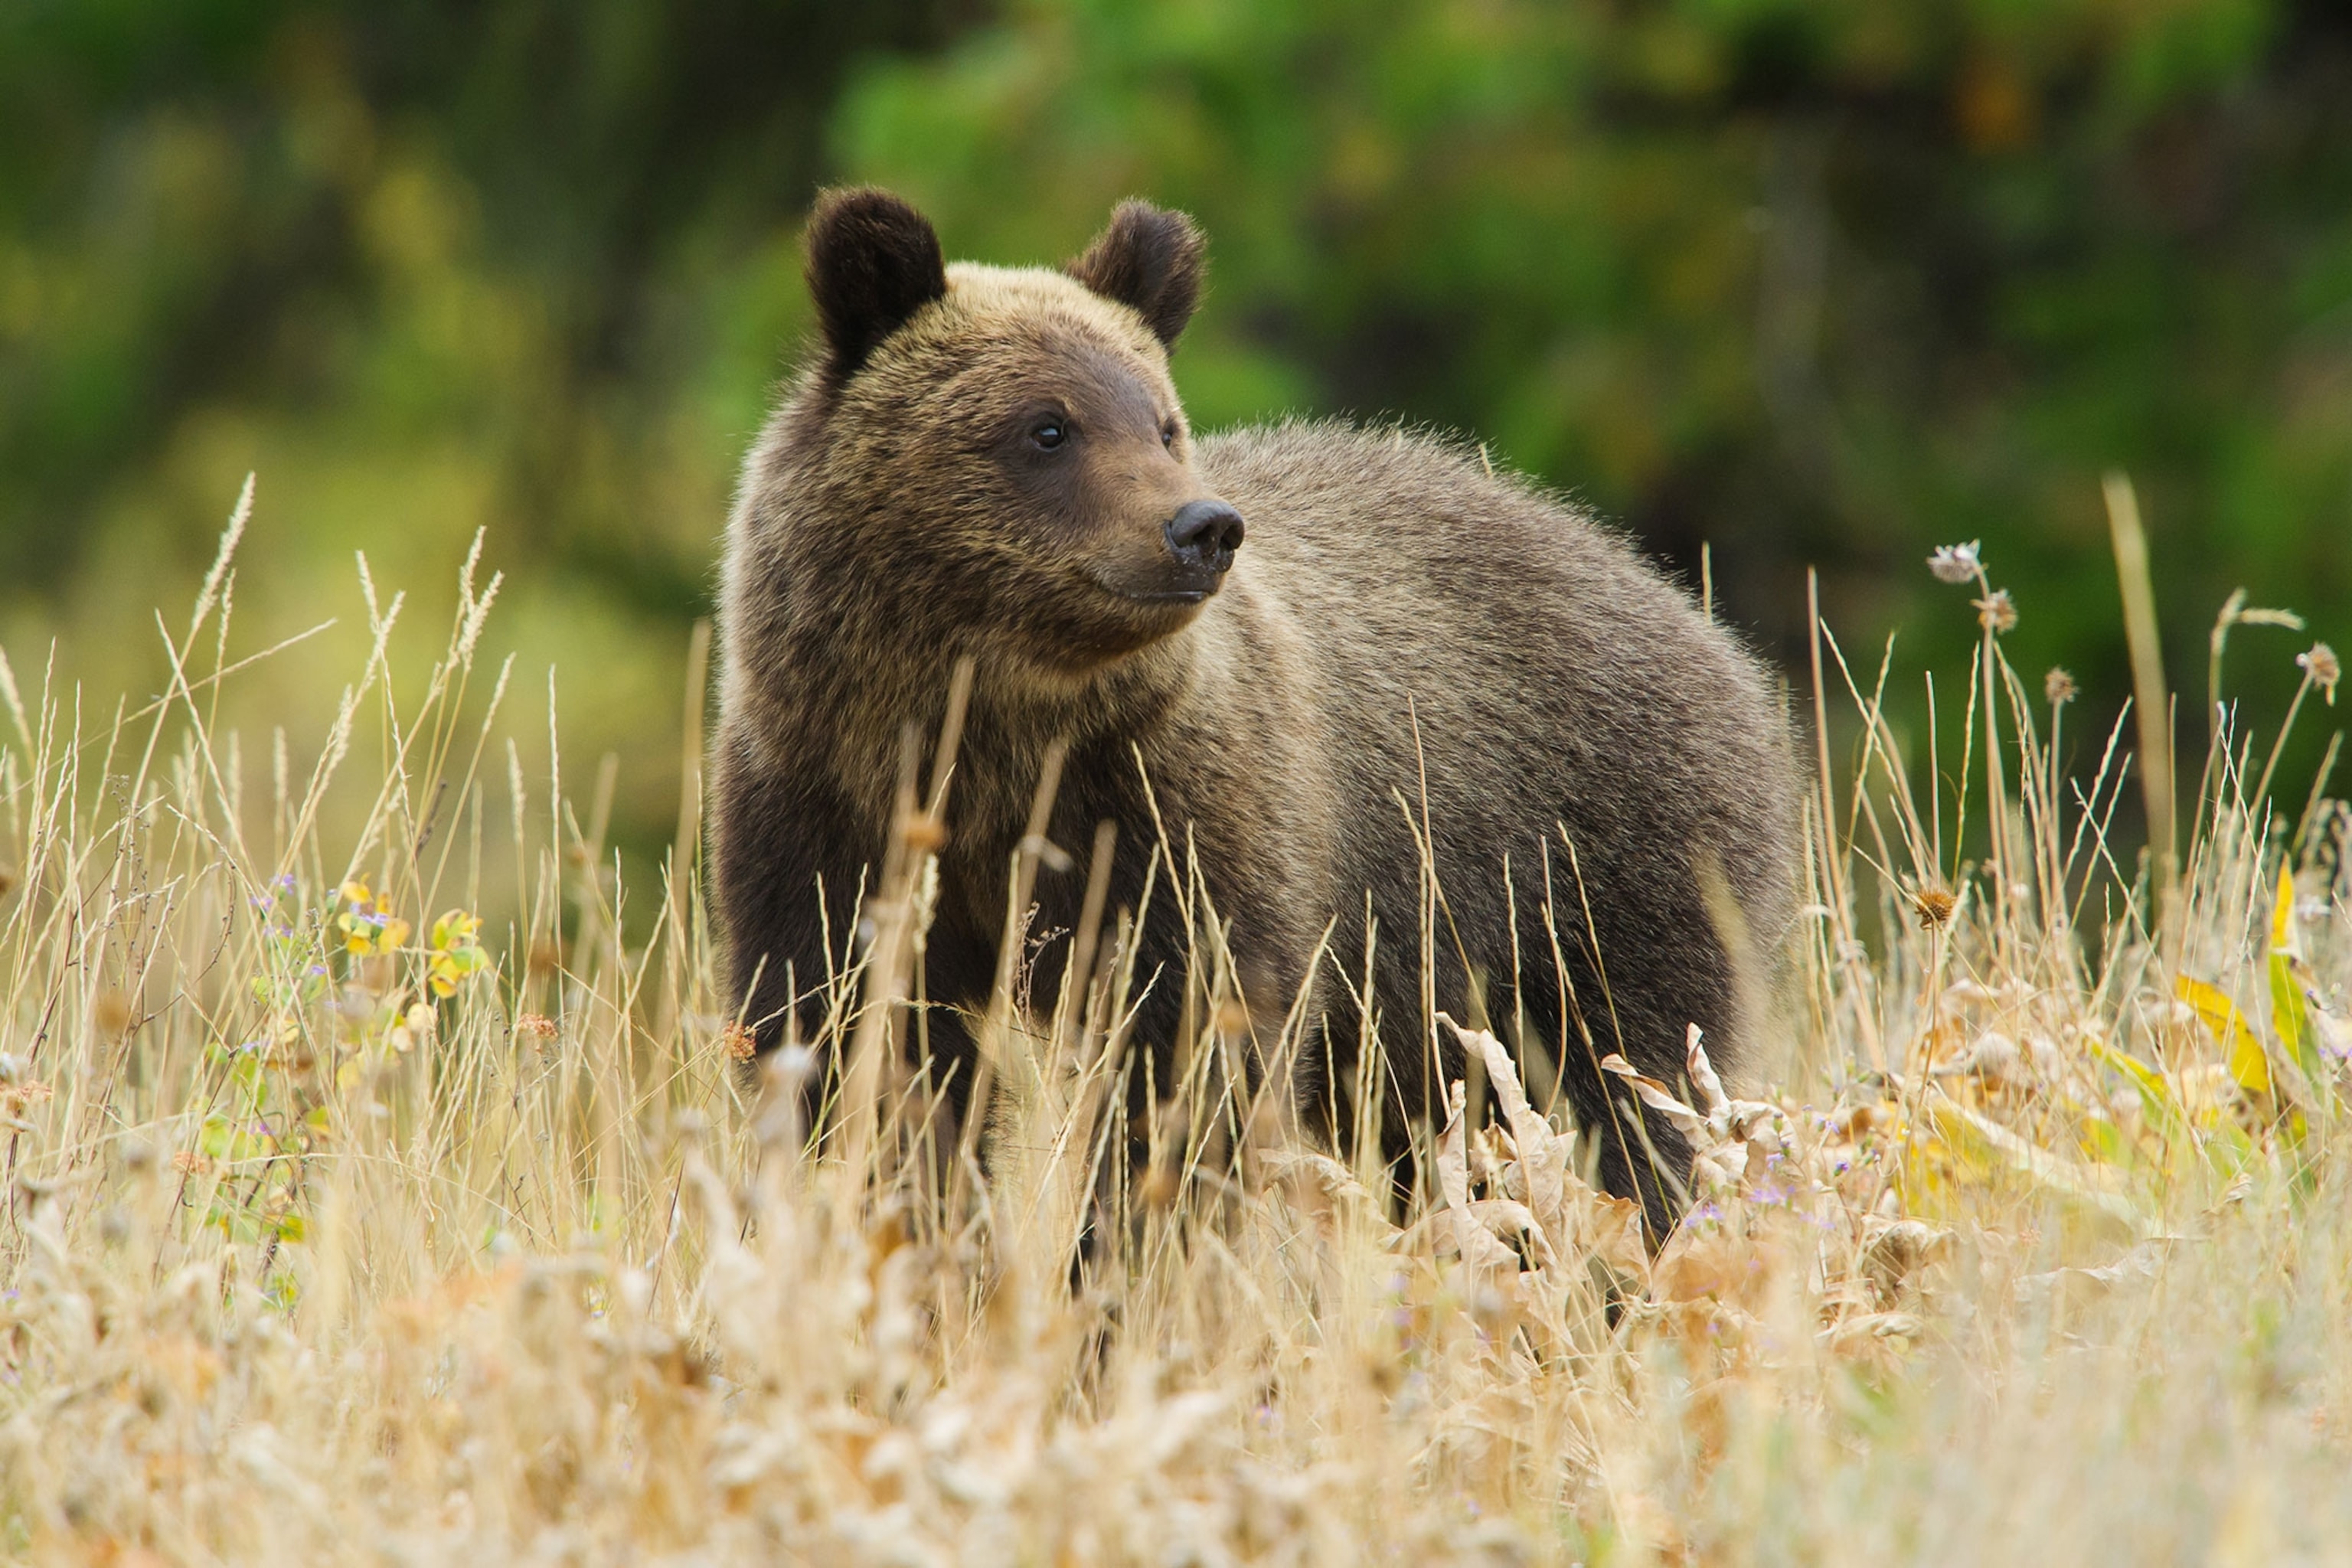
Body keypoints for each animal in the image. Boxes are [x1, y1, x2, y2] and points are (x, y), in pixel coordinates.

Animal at [711, 188, 1802, 1236]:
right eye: (1047, 425)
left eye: (1161, 421)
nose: (1202, 526)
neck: (997, 730)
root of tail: (1697, 625)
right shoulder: (830, 808)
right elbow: (858, 1040)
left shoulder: (1178, 817)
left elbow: (1190, 1056)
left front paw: (1124, 1257)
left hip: (1590, 873)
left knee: (1611, 1095)